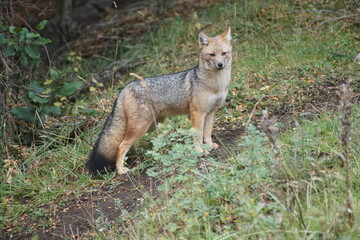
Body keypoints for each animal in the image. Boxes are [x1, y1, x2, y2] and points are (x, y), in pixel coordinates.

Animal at [88, 26, 233, 174]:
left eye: (224, 53)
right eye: (212, 55)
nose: (220, 64)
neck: (216, 85)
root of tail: (125, 88)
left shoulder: (210, 112)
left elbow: (207, 133)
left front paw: (209, 146)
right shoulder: (198, 113)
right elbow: (197, 136)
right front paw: (199, 151)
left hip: (148, 126)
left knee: (127, 144)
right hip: (141, 127)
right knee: (121, 146)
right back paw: (121, 169)